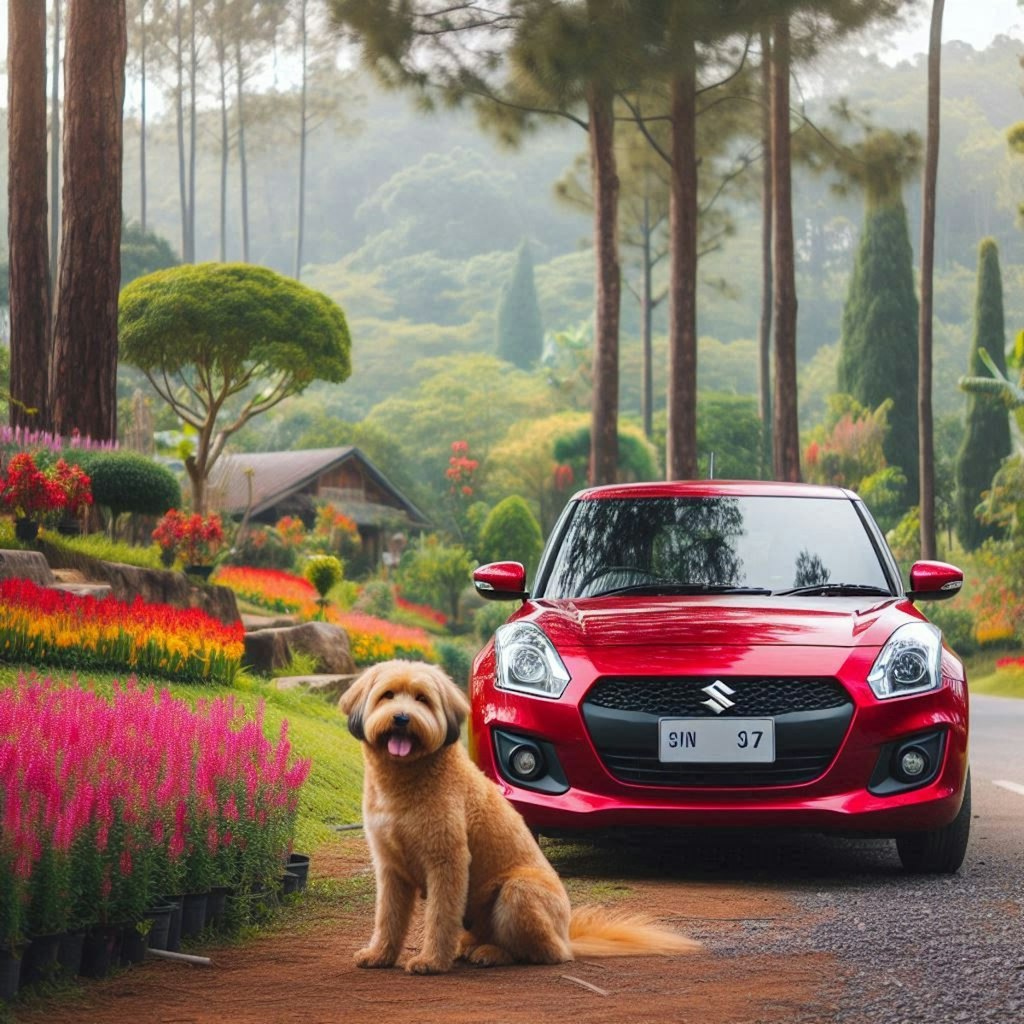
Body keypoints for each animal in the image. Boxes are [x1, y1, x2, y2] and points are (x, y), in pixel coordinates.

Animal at [339, 659, 700, 970]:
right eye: (387, 695)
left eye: (422, 699)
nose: (402, 718)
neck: (406, 782)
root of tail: (566, 937)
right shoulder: (390, 867)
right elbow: (388, 917)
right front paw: (379, 955)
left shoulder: (447, 862)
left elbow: (440, 917)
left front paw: (431, 961)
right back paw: (472, 947)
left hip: (518, 892)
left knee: (542, 952)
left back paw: (492, 953)